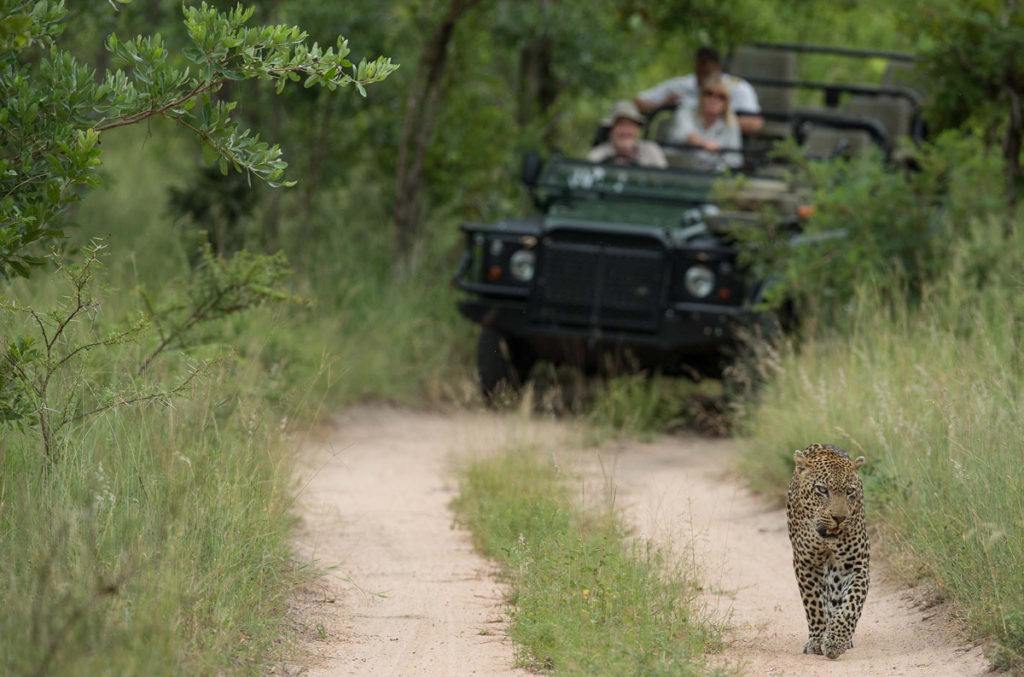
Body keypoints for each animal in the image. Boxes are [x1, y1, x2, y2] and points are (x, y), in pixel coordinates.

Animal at [786, 440, 868, 655]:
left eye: (850, 491)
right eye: (822, 490)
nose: (839, 518)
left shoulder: (855, 566)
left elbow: (850, 605)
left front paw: (835, 640)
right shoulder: (806, 564)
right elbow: (814, 604)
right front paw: (817, 640)